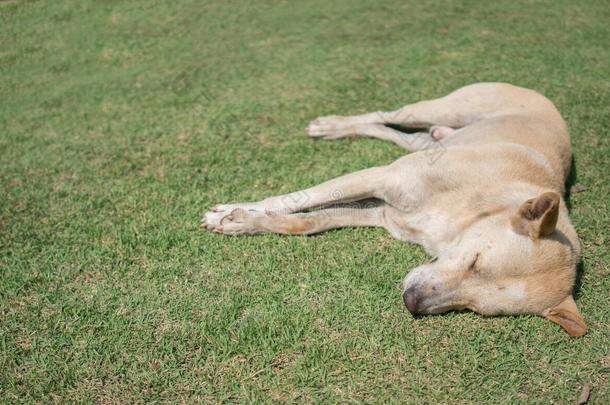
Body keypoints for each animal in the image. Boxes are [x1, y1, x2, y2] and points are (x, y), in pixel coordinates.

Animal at [201, 81, 584, 334]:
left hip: (429, 137)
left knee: (400, 133)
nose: (412, 301)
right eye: (475, 262)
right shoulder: (381, 178)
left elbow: (309, 221)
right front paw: (231, 211)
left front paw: (244, 221)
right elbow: (299, 199)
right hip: (443, 107)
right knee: (386, 115)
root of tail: (537, 93)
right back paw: (334, 125)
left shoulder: (379, 212)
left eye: (475, 309)